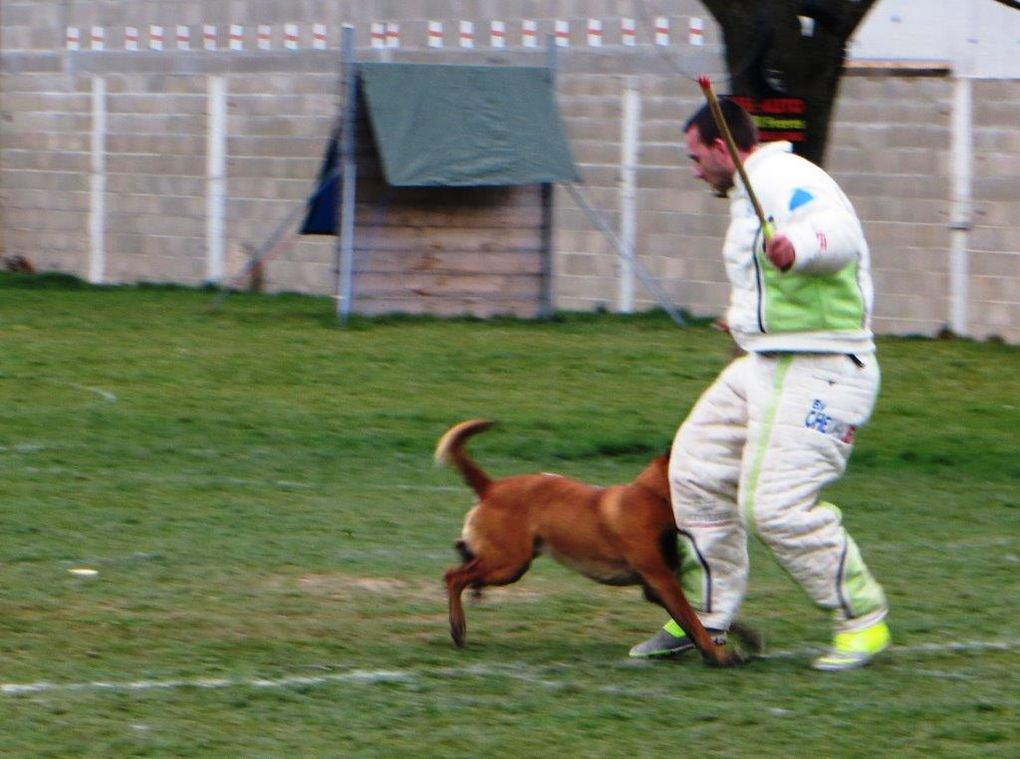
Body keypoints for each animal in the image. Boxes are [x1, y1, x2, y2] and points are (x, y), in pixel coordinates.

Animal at [434, 418, 754, 665]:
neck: (653, 496)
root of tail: (490, 486)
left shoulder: (655, 586)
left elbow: (701, 617)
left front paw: (741, 637)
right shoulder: (662, 581)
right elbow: (693, 620)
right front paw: (718, 654)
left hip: (508, 562)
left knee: (464, 558)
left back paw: (472, 584)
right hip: (509, 564)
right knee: (453, 576)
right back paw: (458, 626)